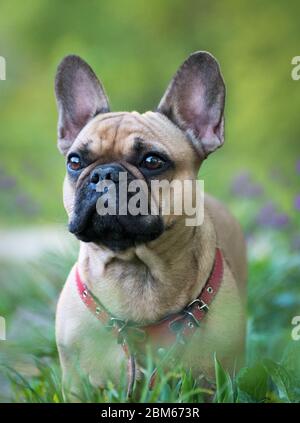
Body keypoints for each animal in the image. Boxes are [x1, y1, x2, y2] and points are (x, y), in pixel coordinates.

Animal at [54, 51, 246, 402]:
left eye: (153, 161)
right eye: (75, 162)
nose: (104, 174)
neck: (135, 267)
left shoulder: (215, 383)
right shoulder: (76, 386)